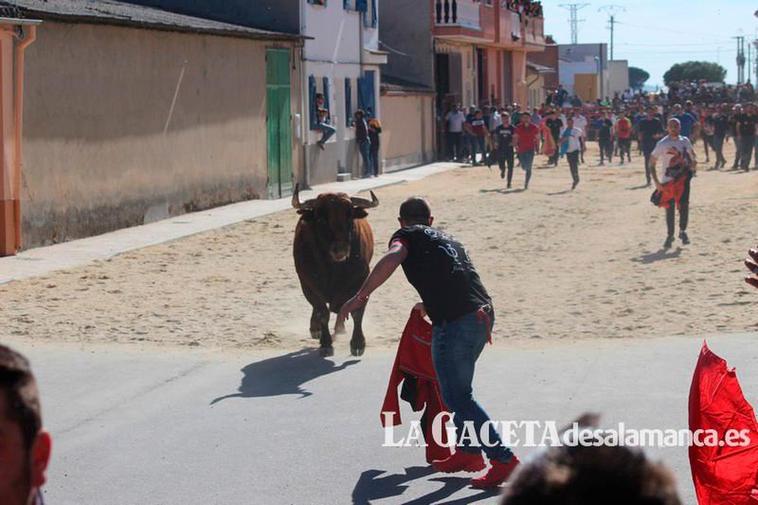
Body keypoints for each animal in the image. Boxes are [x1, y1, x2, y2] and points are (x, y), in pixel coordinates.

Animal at [296, 184, 382, 354]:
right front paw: (325, 342)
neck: (333, 267)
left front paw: (357, 343)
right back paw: (316, 328)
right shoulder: (308, 283)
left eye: (349, 216)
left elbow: (356, 311)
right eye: (321, 219)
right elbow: (322, 311)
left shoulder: (361, 280)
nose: (340, 249)